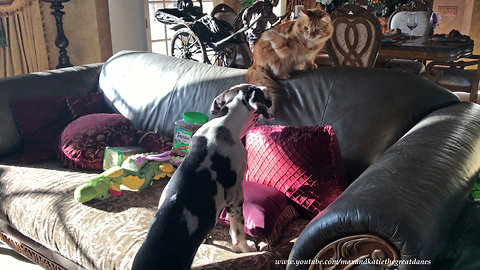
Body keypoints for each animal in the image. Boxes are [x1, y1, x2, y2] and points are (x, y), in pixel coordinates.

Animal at [132, 83, 274, 268]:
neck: (225, 122)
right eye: (257, 89)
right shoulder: (235, 196)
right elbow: (238, 229)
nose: (266, 87)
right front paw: (245, 248)